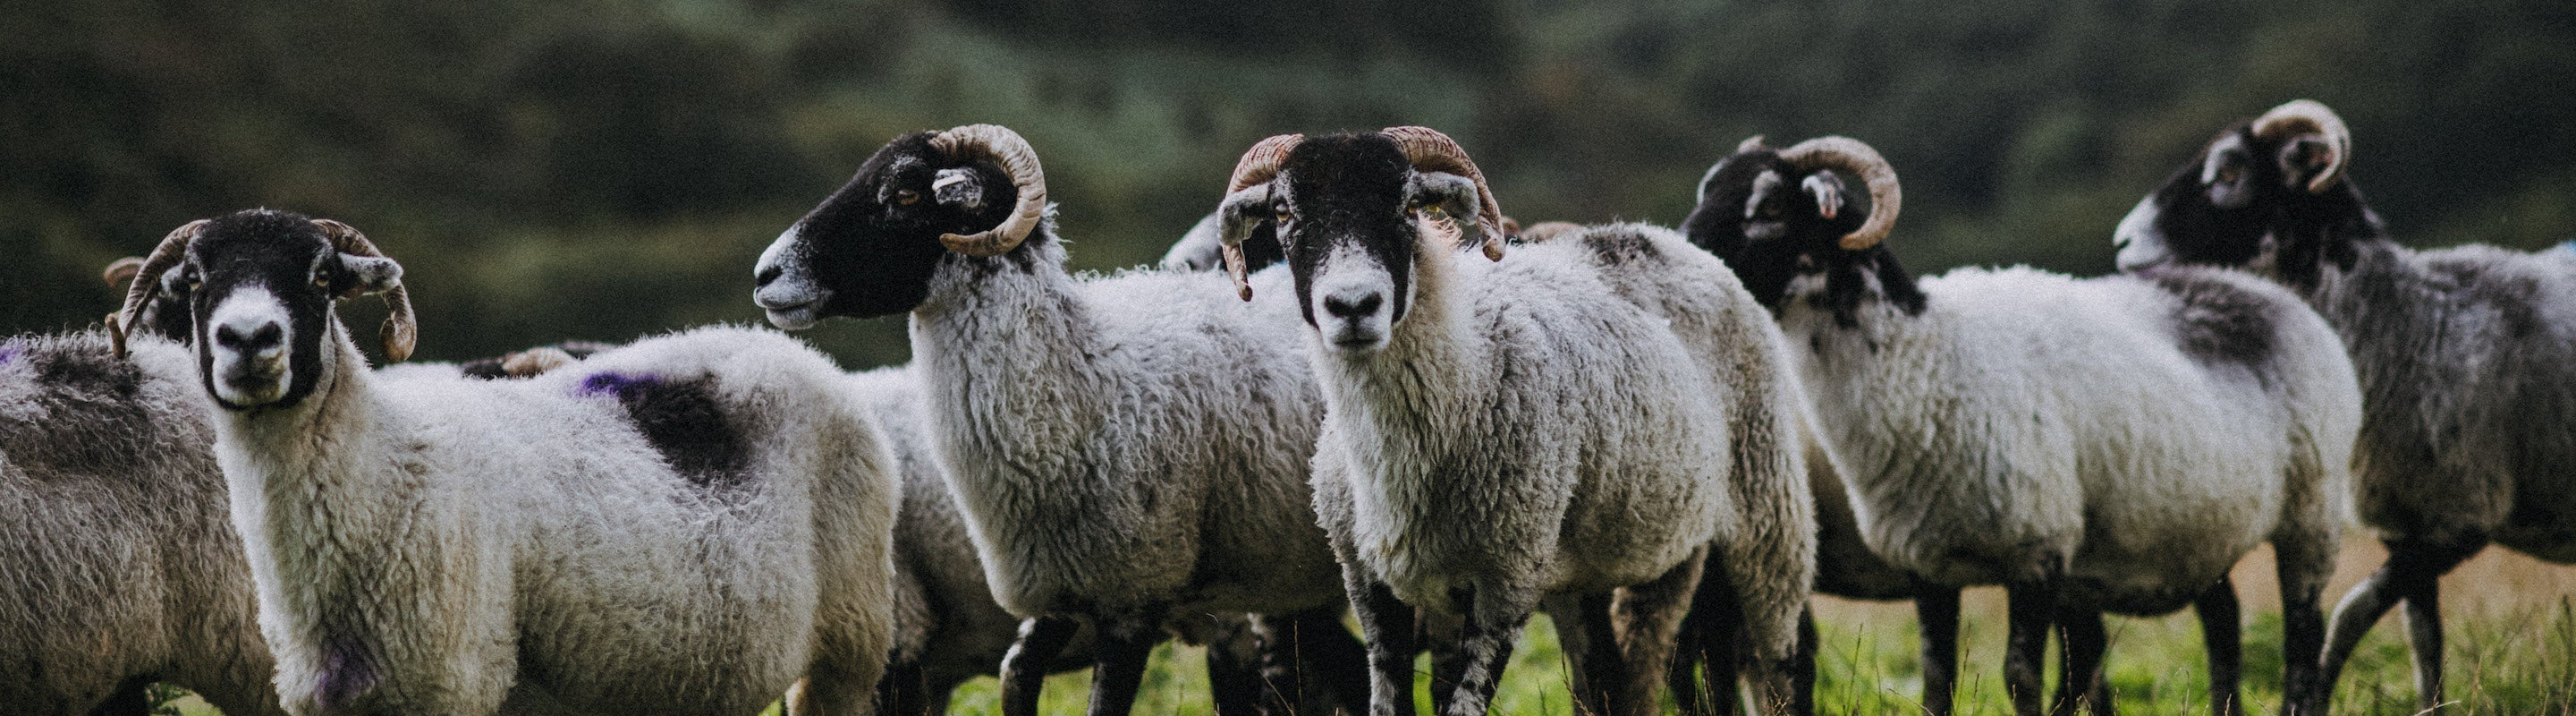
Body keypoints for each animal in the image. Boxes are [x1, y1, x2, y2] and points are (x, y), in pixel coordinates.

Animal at [108, 209, 898, 715]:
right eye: (196, 279)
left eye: (321, 276)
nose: (249, 340)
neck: (387, 459)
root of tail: (782, 345)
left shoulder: (452, 684)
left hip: (852, 642)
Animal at [751, 124, 1360, 716]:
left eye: (905, 193)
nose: (764, 275)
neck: (1084, 377)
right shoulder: (1057, 590)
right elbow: (1016, 677)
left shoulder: (1133, 596)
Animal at [1209, 127, 1816, 716]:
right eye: (1283, 211)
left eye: (1409, 207)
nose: (1353, 306)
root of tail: (1658, 235)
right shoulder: (1371, 581)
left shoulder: (1507, 580)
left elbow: (1464, 705)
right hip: (1645, 555)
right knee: (1625, 675)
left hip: (1767, 505)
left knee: (1783, 658)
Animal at [1686, 135, 2362, 716]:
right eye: (1707, 188)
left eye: (1771, 205)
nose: (1689, 255)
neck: (1926, 358)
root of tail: (2265, 292)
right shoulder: (1927, 566)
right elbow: (1936, 680)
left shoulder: (2040, 552)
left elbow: (2021, 679)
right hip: (2204, 532)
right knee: (2224, 625)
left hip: (2311, 511)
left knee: (2303, 639)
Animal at [2114, 99, 2576, 712]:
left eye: (2231, 172)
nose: (2121, 243)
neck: (2416, 328)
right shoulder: (2407, 523)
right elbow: (2423, 641)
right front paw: (2427, 705)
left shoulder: (2465, 518)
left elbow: (2350, 612)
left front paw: (2315, 694)